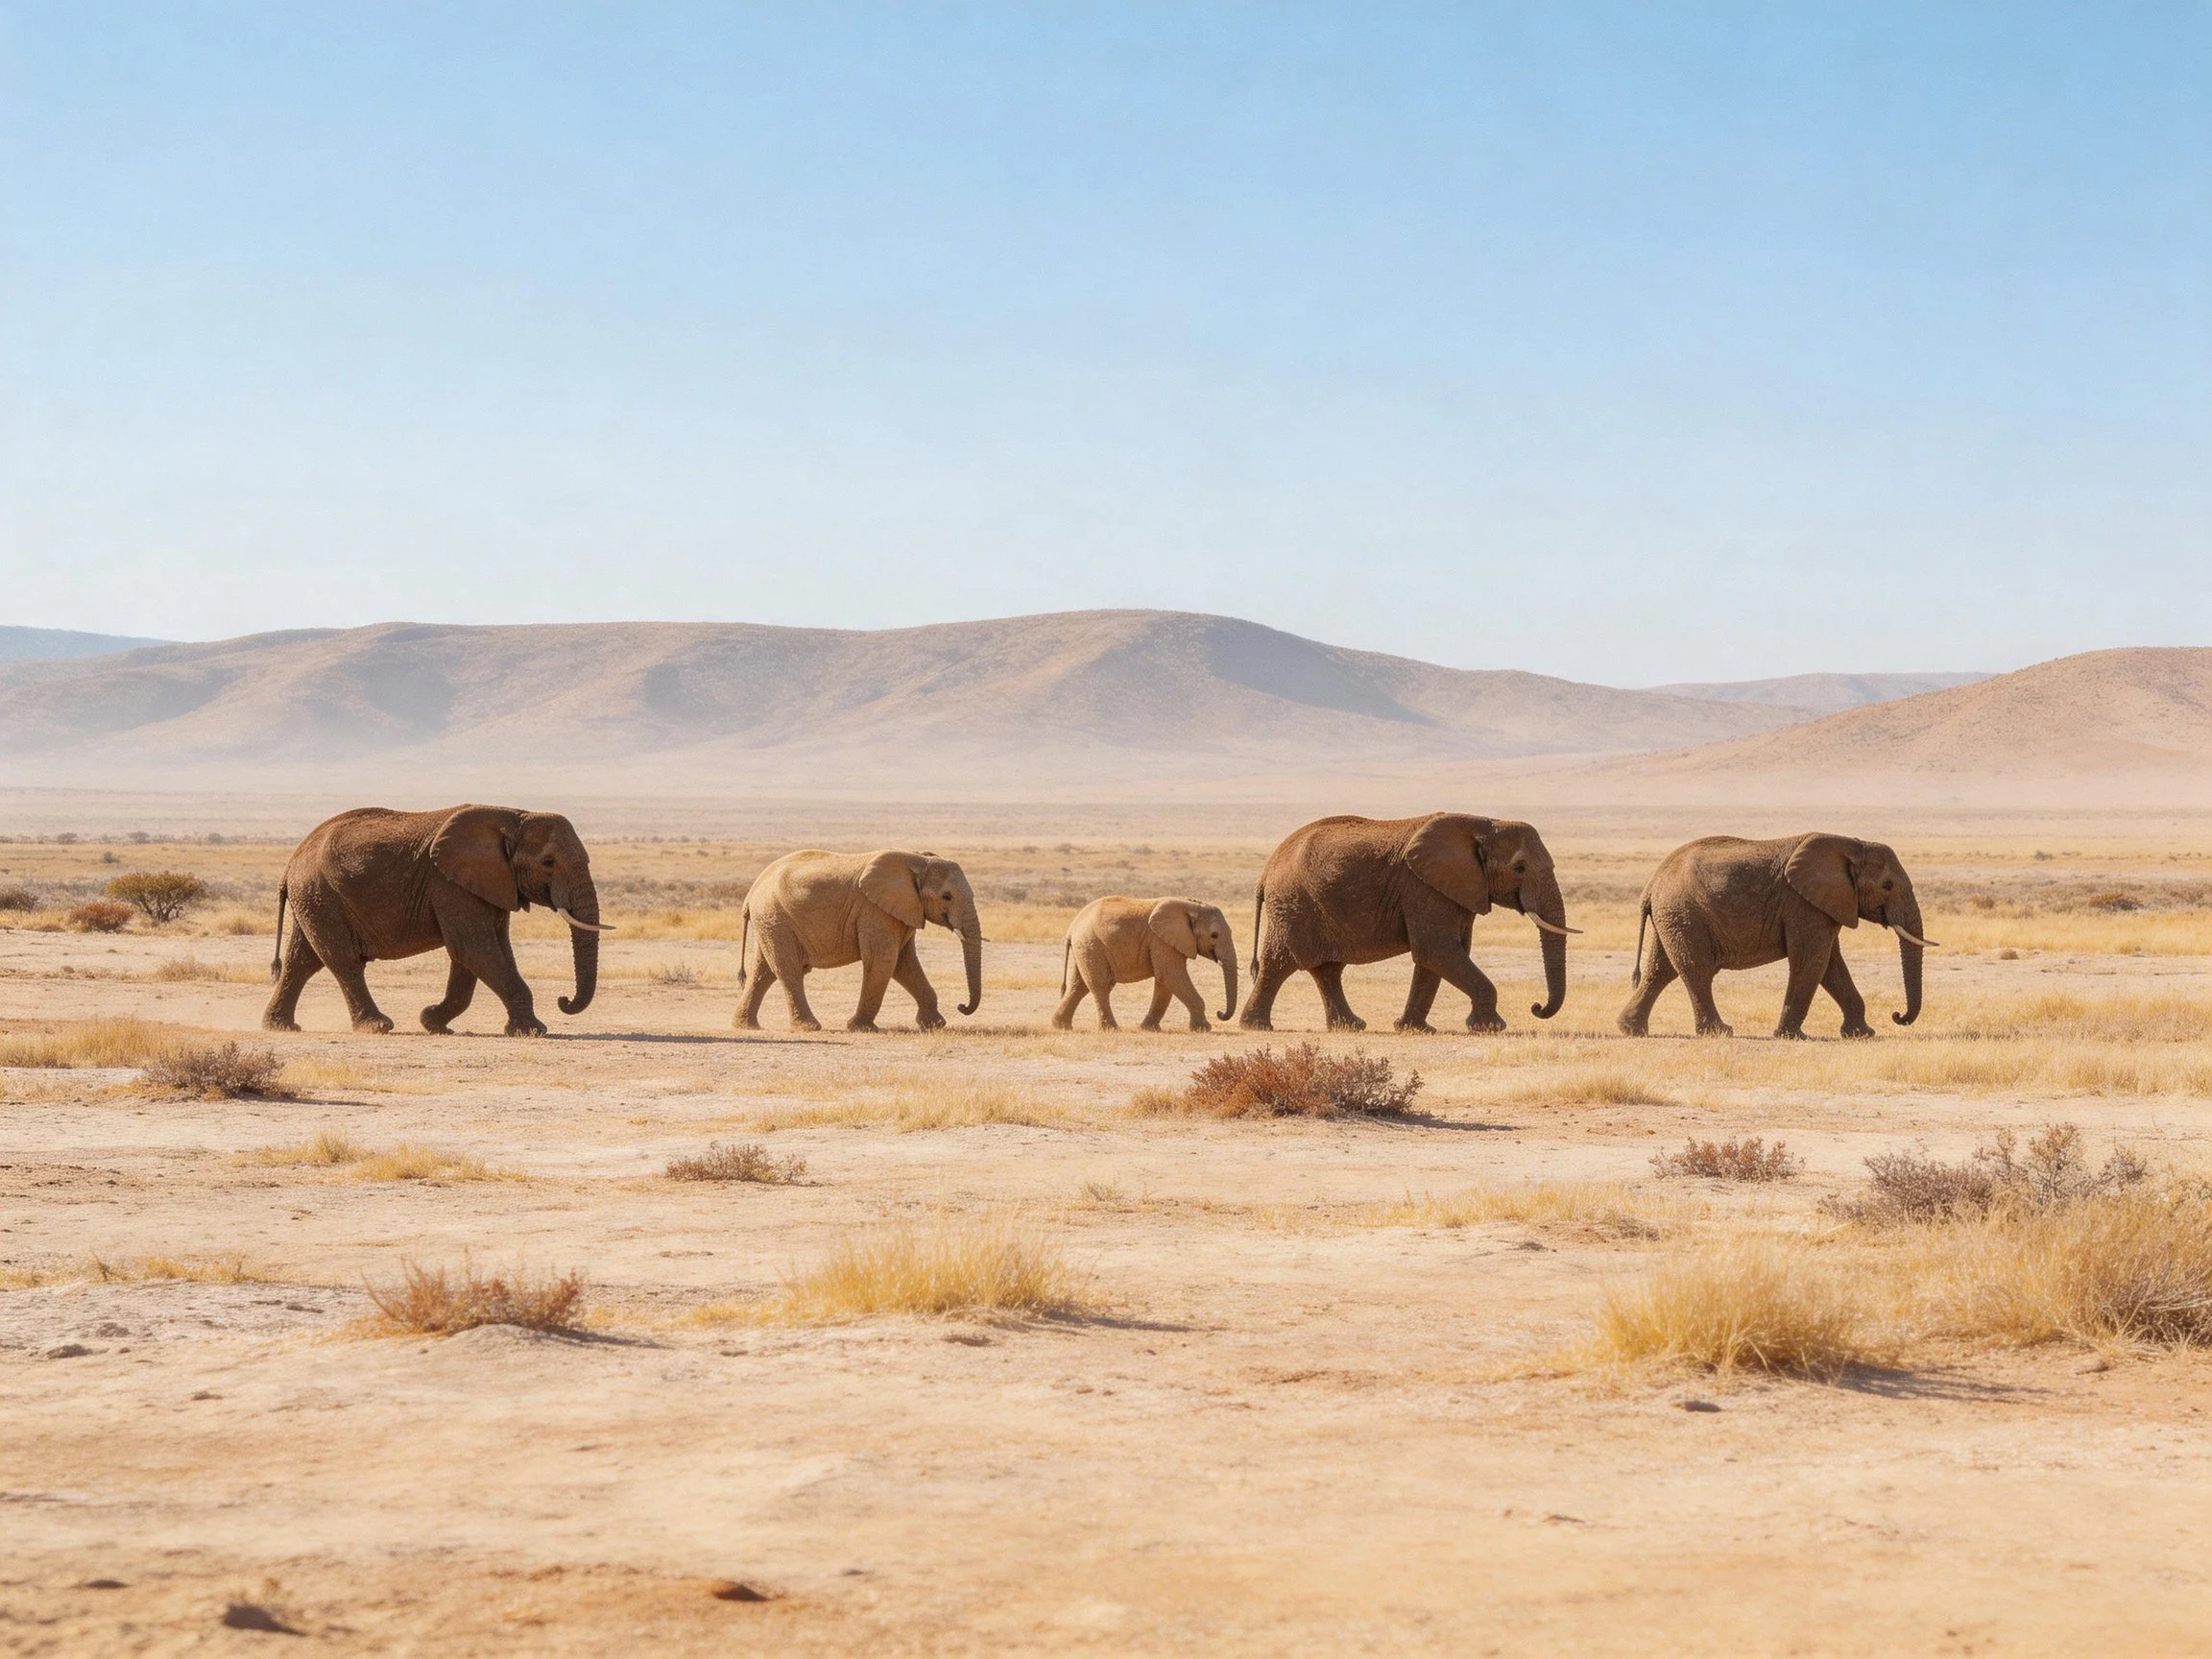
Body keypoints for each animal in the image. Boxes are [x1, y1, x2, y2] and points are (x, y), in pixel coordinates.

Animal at [264, 804, 607, 1037]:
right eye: (548, 863)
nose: (564, 1000)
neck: (512, 817)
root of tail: (291, 861)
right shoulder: (450, 885)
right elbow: (474, 949)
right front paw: (533, 1031)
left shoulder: (486, 885)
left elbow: (480, 953)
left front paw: (433, 1022)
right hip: (320, 895)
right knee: (343, 961)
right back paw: (377, 1026)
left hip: (313, 900)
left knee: (302, 961)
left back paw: (281, 1027)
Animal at [735, 849, 981, 1032]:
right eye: (947, 897)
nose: (961, 1006)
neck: (918, 859)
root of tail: (751, 891)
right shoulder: (874, 911)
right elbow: (883, 960)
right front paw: (860, 1028)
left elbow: (905, 964)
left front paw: (934, 1026)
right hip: (776, 918)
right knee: (788, 969)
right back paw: (809, 1027)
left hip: (769, 921)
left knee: (762, 972)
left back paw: (746, 1026)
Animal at [1051, 897, 1237, 1032]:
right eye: (1214, 935)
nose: (1220, 1013)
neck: (1191, 906)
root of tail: (1072, 927)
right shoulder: (1161, 941)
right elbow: (1171, 975)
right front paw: (1204, 1029)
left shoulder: (1164, 942)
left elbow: (1164, 981)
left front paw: (1149, 1029)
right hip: (1091, 944)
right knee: (1100, 986)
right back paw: (1111, 1029)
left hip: (1084, 947)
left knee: (1079, 986)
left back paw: (1061, 1026)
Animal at [1238, 813, 1575, 1033]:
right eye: (1519, 868)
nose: (1536, 1007)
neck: (1485, 824)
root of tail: (1266, 869)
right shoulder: (1423, 888)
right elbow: (1436, 950)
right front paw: (1490, 1027)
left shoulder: (1452, 890)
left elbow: (1437, 957)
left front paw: (1414, 1029)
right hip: (1293, 904)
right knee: (1279, 964)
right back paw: (1257, 1027)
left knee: (1326, 970)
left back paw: (1350, 1027)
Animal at [1616, 833, 1936, 1040]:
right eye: (1887, 886)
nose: (1898, 1016)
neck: (1854, 845)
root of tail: (1651, 884)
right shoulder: (1803, 904)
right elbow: (1812, 962)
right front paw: (1792, 1036)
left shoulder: (1822, 906)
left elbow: (1831, 965)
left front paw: (1862, 1035)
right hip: (1684, 913)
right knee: (1696, 970)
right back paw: (1720, 1032)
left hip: (1672, 916)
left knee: (1660, 970)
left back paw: (1631, 1030)